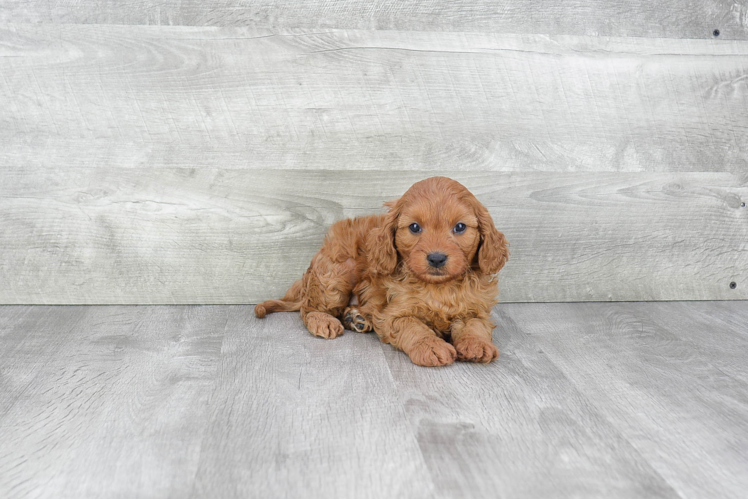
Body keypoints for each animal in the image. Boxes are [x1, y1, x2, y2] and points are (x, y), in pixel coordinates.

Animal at [256, 177, 508, 368]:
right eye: (414, 227)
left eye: (460, 227)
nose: (436, 258)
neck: (439, 288)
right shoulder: (395, 314)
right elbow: (413, 326)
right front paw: (431, 346)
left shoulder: (475, 308)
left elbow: (475, 325)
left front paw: (477, 344)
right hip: (337, 273)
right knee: (309, 308)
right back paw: (324, 320)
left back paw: (357, 317)